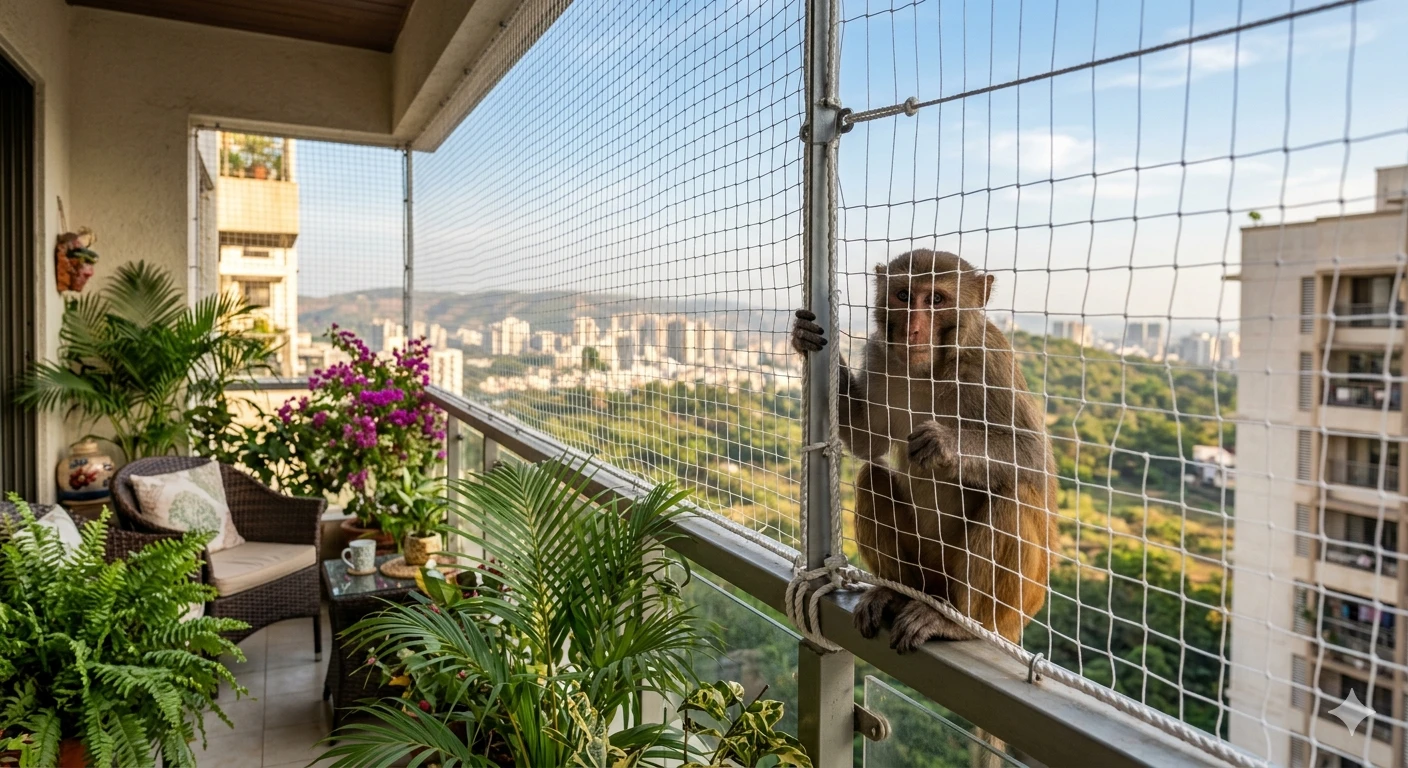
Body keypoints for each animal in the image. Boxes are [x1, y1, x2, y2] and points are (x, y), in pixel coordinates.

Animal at [792, 249, 1056, 653]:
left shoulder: (991, 361)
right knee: (872, 476)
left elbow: (1034, 457)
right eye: (904, 296)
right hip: (926, 570)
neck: (931, 368)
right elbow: (870, 440)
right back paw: (897, 593)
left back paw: (961, 623)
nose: (913, 330)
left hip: (1018, 606)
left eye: (936, 300)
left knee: (1015, 495)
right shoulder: (879, 354)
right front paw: (805, 338)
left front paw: (943, 443)